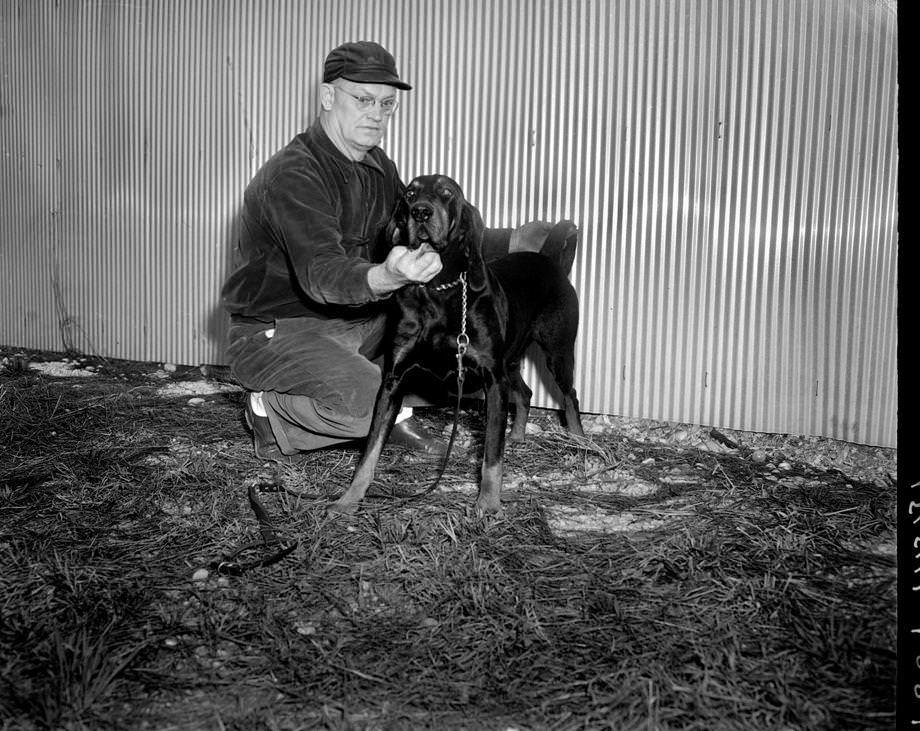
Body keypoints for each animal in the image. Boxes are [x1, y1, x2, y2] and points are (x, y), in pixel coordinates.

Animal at [328, 174, 584, 516]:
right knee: (527, 393)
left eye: (447, 192)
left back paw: (580, 441)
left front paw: (488, 505)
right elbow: (370, 448)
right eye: (409, 194)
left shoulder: (492, 380)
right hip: (510, 360)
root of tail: (549, 261)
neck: (437, 289)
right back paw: (517, 436)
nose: (421, 212)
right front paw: (349, 498)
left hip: (556, 353)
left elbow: (491, 455)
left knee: (569, 395)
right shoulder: (393, 379)